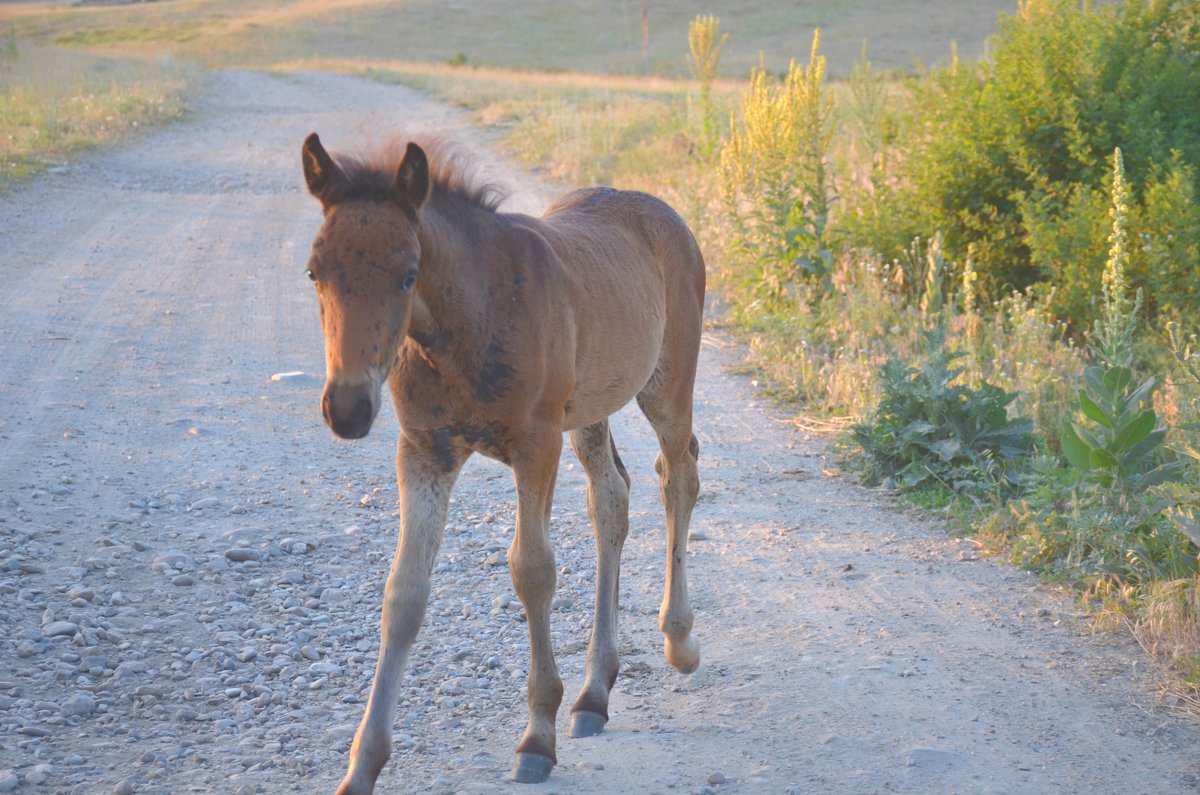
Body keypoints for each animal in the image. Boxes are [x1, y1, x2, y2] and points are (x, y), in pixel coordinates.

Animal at [300, 133, 705, 792]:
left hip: (666, 385)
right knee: (611, 498)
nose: (348, 408)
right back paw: (595, 693)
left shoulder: (534, 444)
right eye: (315, 272)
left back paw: (679, 640)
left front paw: (536, 736)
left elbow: (532, 570)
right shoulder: (424, 451)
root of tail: (662, 211)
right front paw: (361, 767)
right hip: (588, 411)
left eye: (408, 275)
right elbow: (403, 593)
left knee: (679, 476)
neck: (470, 318)